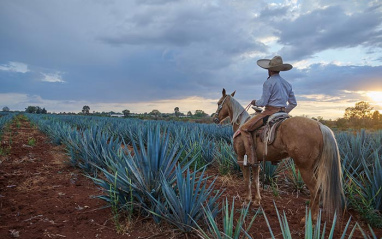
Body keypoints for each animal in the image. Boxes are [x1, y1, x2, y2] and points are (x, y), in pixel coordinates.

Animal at [213, 88, 344, 221]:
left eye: (219, 103)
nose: (215, 119)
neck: (241, 124)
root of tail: (320, 125)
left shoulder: (241, 159)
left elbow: (247, 180)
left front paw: (247, 201)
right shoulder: (256, 161)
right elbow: (255, 180)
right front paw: (257, 201)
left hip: (305, 168)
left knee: (315, 190)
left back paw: (309, 219)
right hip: (315, 167)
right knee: (318, 190)